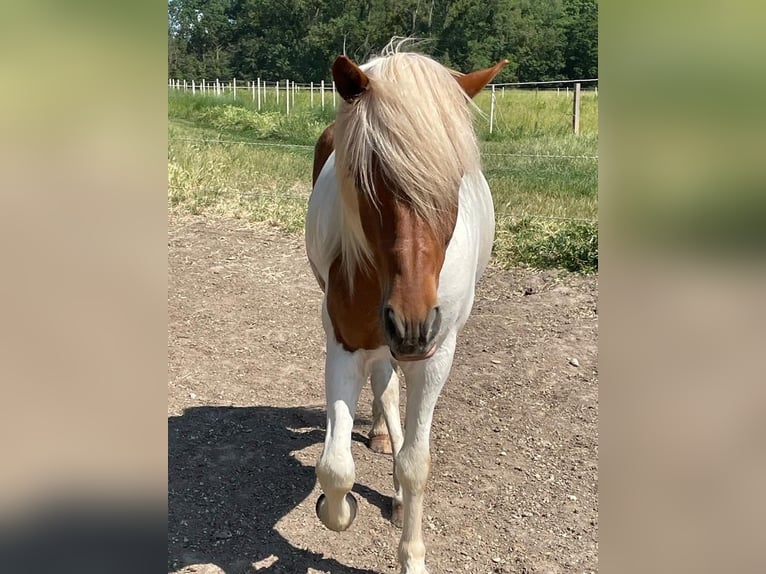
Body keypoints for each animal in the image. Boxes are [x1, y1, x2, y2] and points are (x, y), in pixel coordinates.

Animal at [306, 45, 510, 574]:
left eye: (454, 179)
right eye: (366, 176)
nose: (413, 323)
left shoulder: (436, 355)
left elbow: (417, 464)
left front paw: (412, 554)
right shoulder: (343, 342)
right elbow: (335, 468)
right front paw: (337, 508)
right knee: (384, 381)